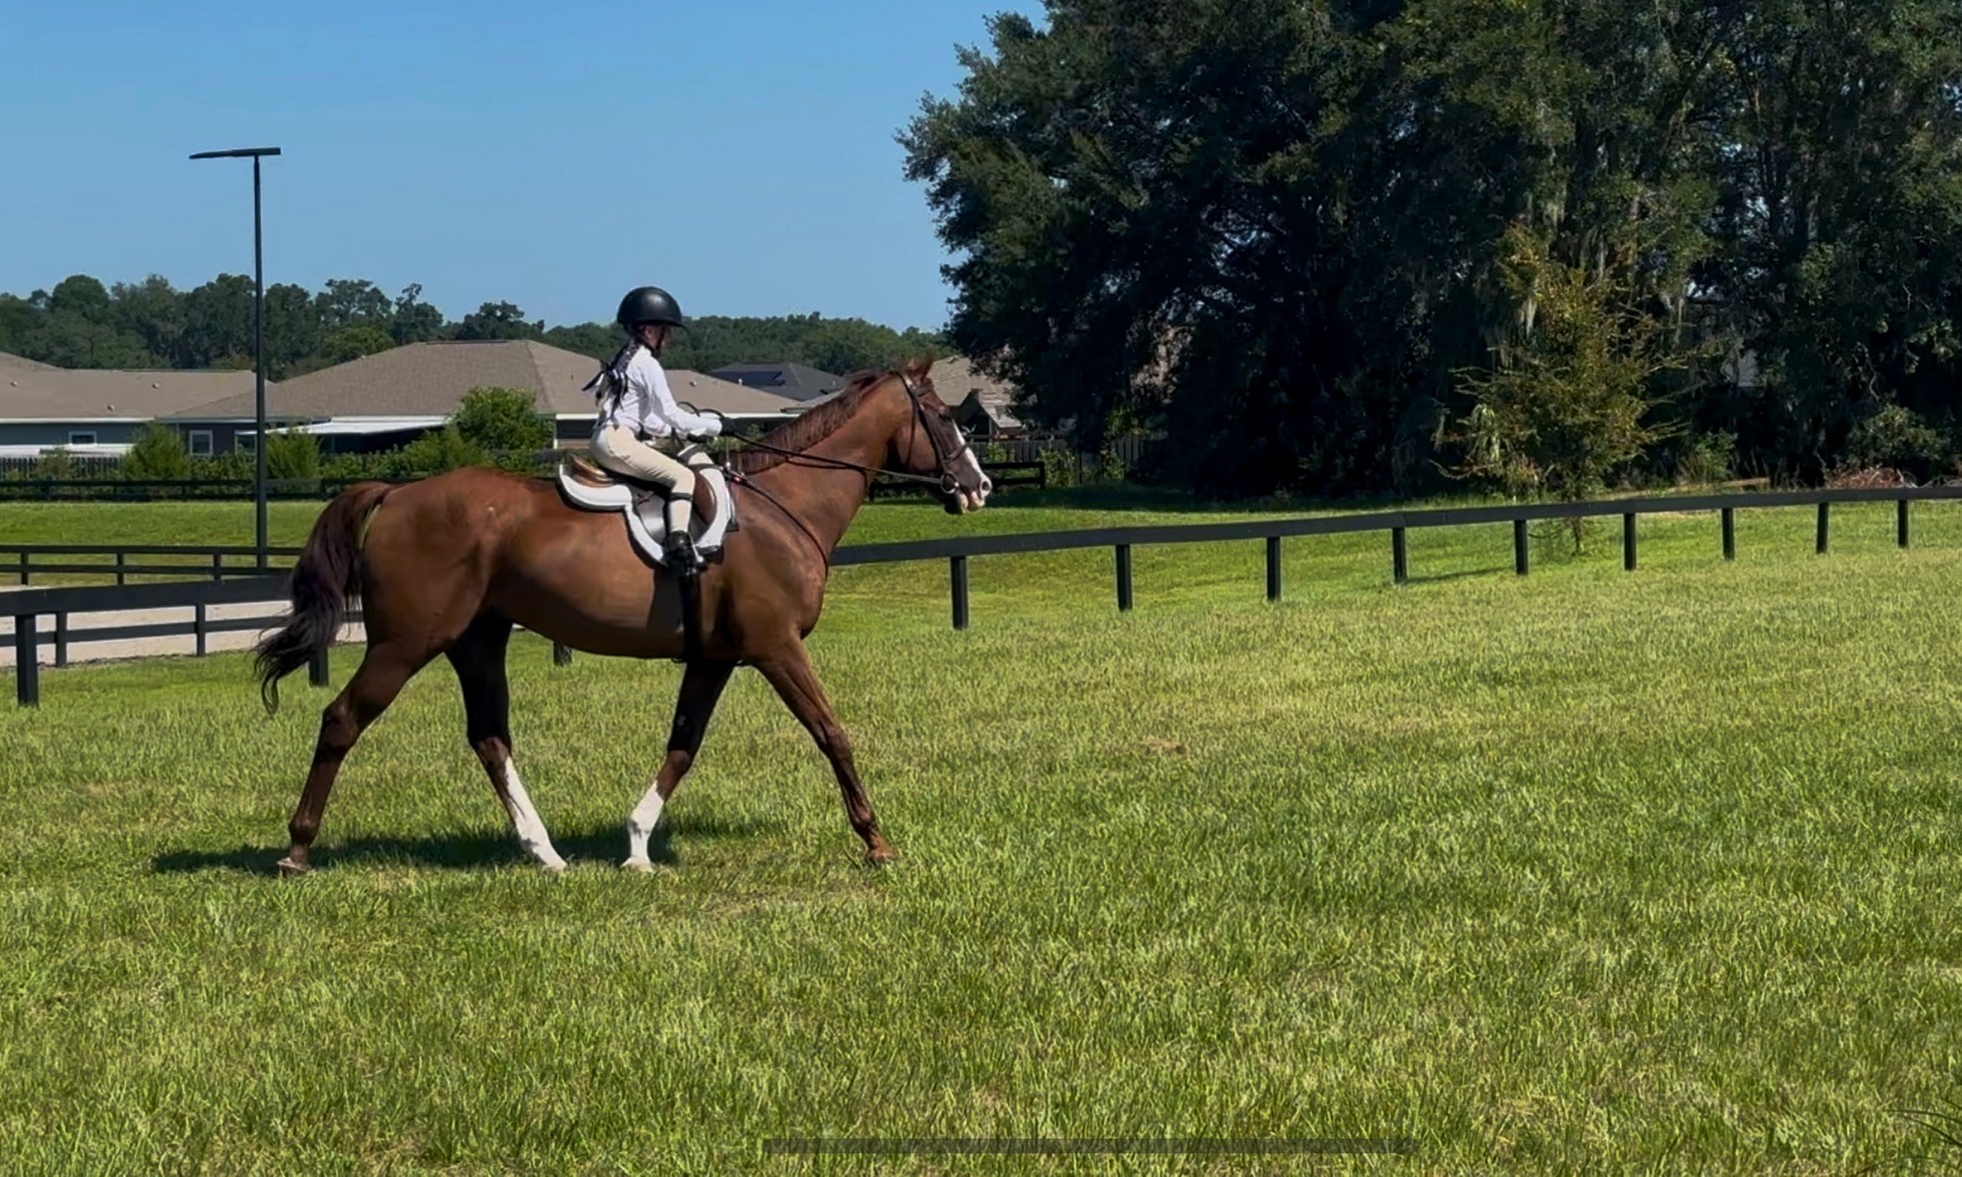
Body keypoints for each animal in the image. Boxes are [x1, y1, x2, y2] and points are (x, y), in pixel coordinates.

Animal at [252, 358, 993, 875]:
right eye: (942, 416)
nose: (979, 487)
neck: (785, 506)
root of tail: (400, 492)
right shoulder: (776, 648)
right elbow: (832, 733)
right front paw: (876, 839)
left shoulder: (715, 658)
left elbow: (684, 745)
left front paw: (637, 846)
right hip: (405, 643)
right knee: (343, 720)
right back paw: (297, 849)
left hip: (476, 641)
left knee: (490, 738)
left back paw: (545, 852)